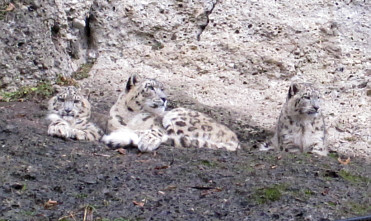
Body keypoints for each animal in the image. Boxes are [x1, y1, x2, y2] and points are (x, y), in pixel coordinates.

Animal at [102, 74, 241, 152]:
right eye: (150, 87)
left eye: (162, 88)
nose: (165, 98)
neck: (131, 116)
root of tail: (235, 138)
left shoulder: (158, 127)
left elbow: (155, 131)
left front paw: (147, 141)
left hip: (176, 115)